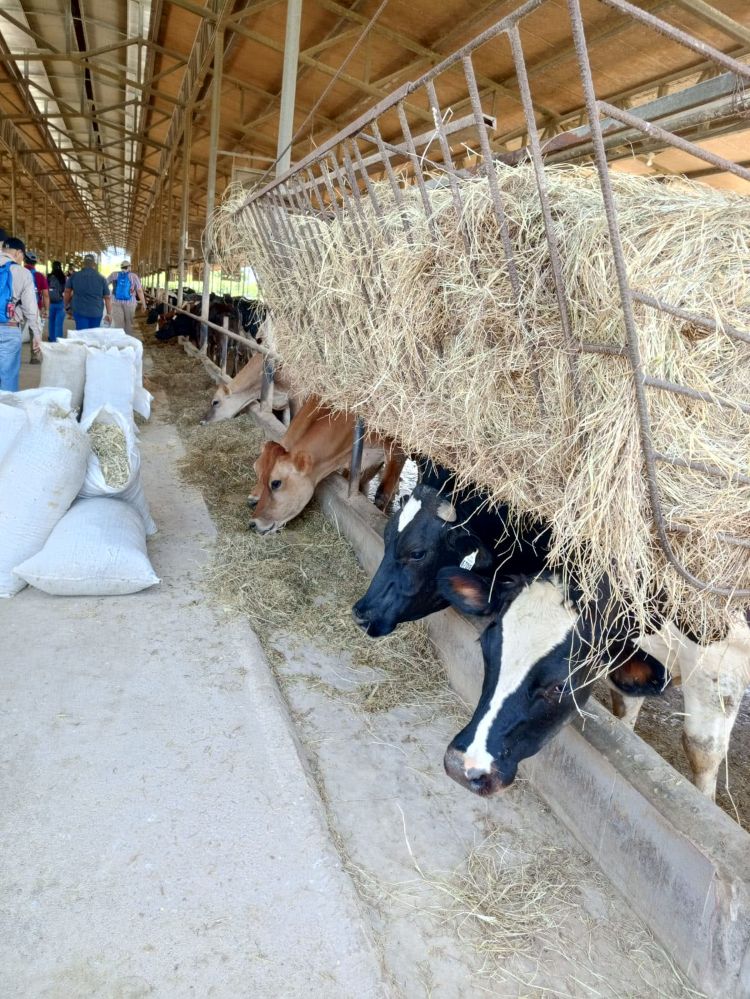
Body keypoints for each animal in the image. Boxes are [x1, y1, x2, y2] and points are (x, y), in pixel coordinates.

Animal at [436, 566, 750, 800]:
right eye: (485, 647)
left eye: (561, 685)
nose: (462, 766)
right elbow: (626, 709)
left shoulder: (720, 663)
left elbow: (702, 750)